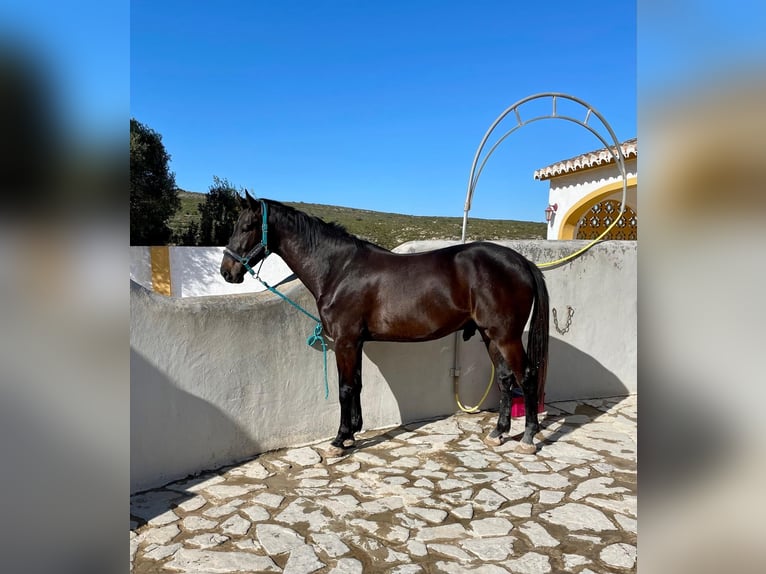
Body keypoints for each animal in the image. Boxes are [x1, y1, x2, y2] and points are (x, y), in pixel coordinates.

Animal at [221, 192, 549, 457]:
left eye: (247, 227)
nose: (227, 271)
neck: (339, 270)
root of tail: (522, 262)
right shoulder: (356, 342)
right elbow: (356, 384)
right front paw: (353, 433)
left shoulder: (345, 341)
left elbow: (344, 388)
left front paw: (339, 440)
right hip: (490, 335)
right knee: (506, 378)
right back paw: (498, 433)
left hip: (506, 337)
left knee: (527, 376)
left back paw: (528, 438)